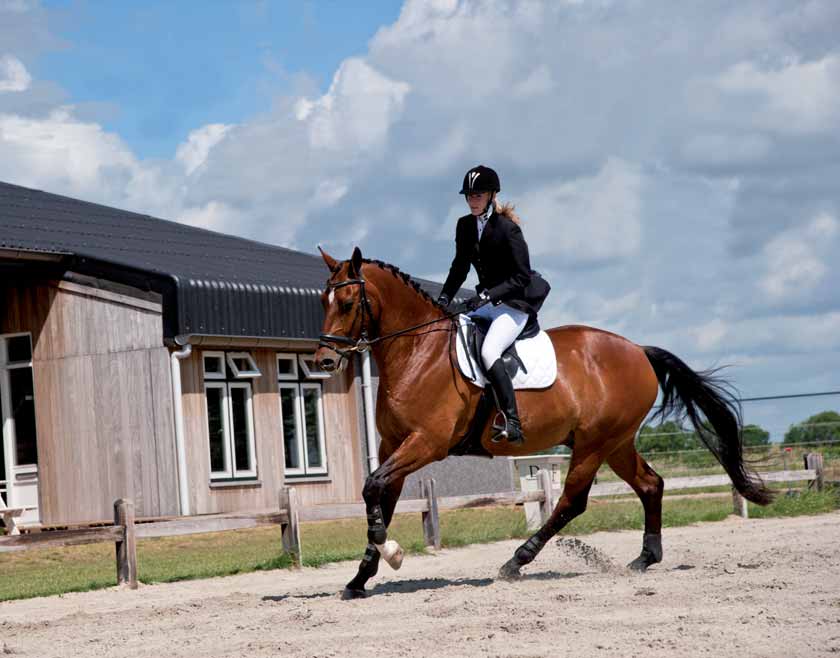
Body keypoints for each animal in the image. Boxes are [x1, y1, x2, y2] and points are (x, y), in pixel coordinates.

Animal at [316, 246, 776, 600]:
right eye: (323, 301)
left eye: (348, 303)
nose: (323, 361)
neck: (417, 352)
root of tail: (638, 351)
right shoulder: (393, 443)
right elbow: (381, 495)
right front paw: (361, 576)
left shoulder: (427, 443)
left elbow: (372, 486)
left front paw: (389, 552)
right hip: (616, 443)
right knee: (650, 484)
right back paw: (645, 558)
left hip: (594, 443)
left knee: (572, 501)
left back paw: (516, 562)